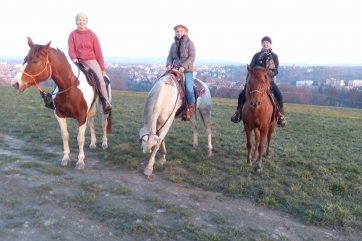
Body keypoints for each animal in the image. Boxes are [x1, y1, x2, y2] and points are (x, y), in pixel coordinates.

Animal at [11, 37, 111, 169]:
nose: (15, 83)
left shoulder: (81, 117)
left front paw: (80, 161)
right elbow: (65, 136)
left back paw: (104, 143)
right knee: (92, 124)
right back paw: (93, 143)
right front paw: (66, 158)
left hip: (104, 109)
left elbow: (80, 138)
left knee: (104, 123)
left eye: (36, 61)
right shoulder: (60, 115)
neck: (70, 86)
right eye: (25, 59)